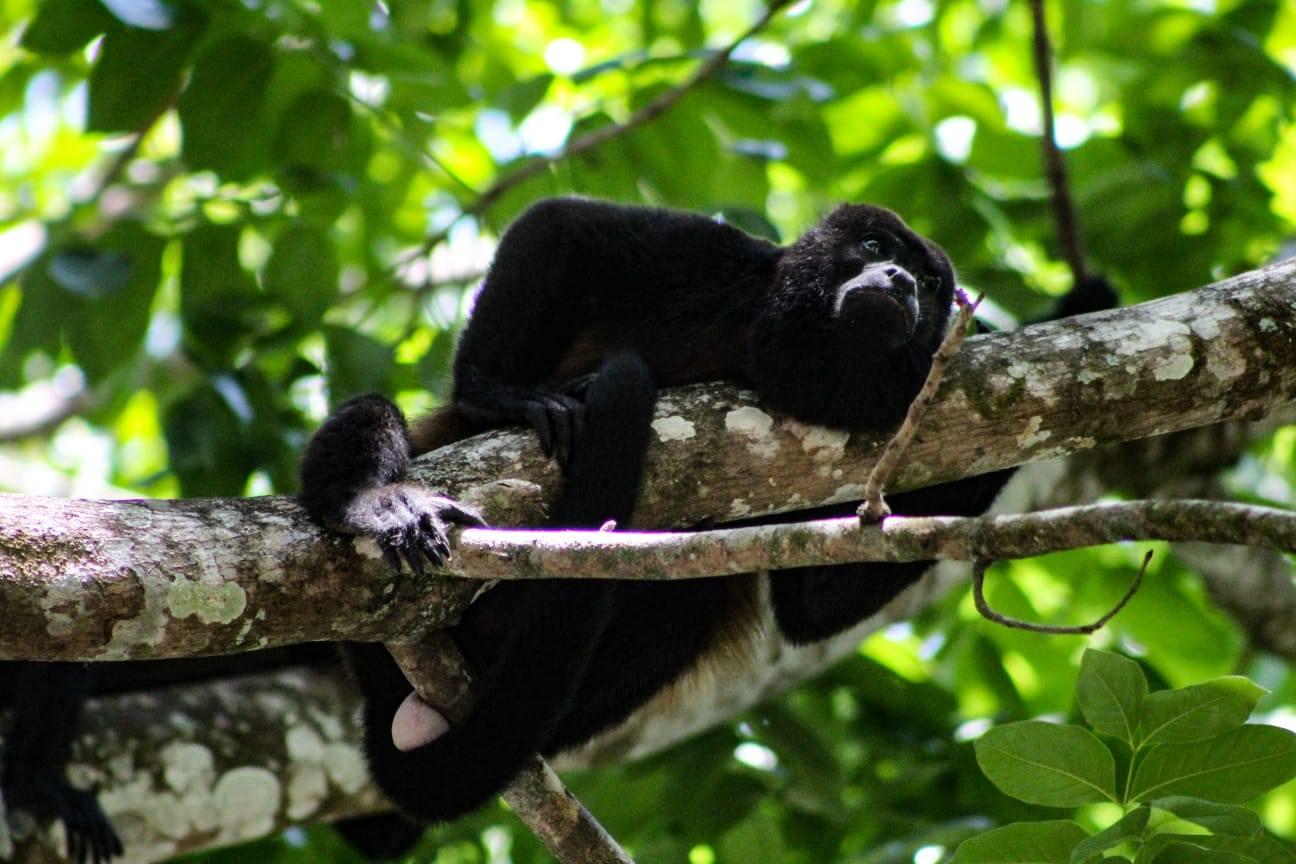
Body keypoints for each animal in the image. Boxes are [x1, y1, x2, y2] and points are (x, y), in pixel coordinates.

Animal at [299, 194, 1116, 827]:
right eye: (876, 247)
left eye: (927, 279)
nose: (897, 280)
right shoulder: (729, 265)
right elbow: (562, 226)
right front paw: (498, 392)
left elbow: (809, 610)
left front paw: (1079, 309)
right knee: (374, 415)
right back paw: (374, 502)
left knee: (679, 608)